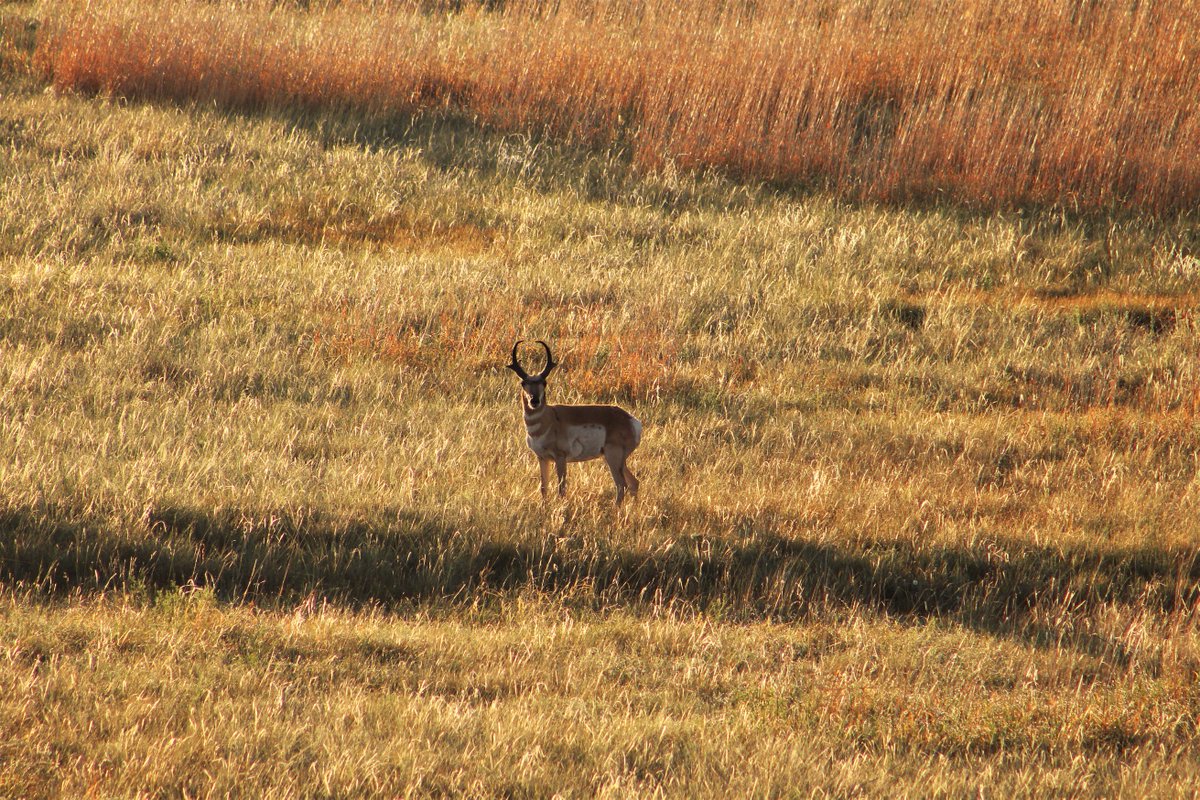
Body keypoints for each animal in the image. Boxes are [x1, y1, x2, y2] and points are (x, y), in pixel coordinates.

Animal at [505, 340, 643, 505]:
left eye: (544, 382)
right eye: (523, 382)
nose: (535, 401)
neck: (549, 419)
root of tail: (631, 421)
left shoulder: (560, 457)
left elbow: (561, 488)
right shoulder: (542, 458)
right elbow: (543, 488)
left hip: (613, 456)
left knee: (621, 485)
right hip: (615, 459)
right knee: (633, 483)